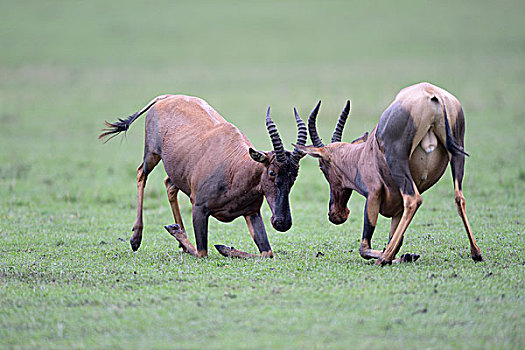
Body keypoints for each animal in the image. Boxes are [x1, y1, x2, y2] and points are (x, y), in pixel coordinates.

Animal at [97, 94, 308, 258]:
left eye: (294, 176)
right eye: (272, 172)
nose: (282, 222)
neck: (235, 165)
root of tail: (165, 97)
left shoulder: (252, 213)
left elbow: (267, 253)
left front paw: (225, 248)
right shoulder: (199, 208)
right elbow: (202, 252)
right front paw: (176, 232)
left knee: (169, 184)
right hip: (152, 154)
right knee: (141, 174)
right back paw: (137, 239)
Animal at [294, 82, 484, 266]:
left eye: (322, 166)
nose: (336, 214)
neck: (363, 153)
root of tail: (432, 94)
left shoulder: (373, 195)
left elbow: (364, 247)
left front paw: (394, 256)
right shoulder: (397, 209)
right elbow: (395, 240)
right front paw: (407, 256)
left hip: (397, 160)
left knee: (413, 199)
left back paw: (383, 260)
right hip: (458, 154)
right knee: (459, 197)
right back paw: (476, 253)